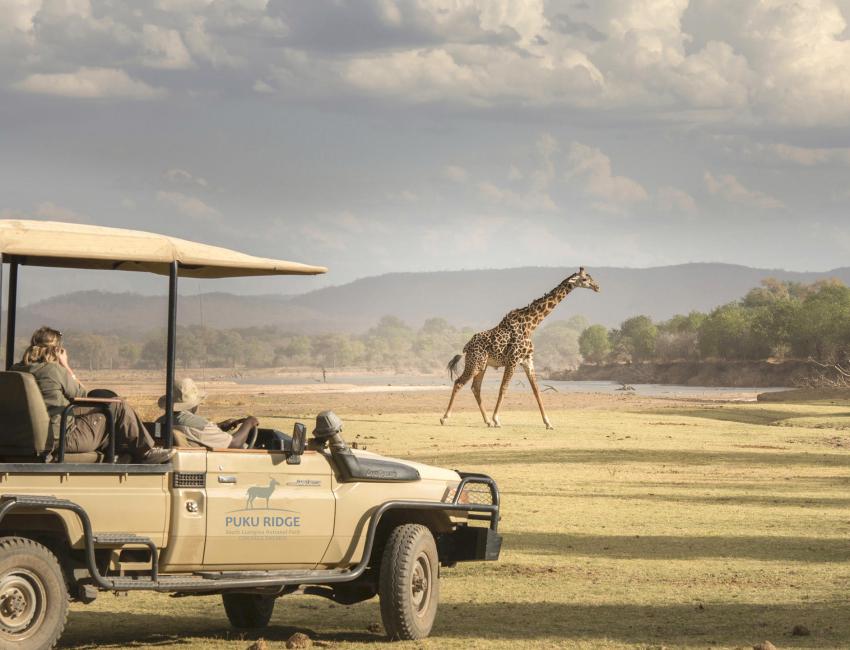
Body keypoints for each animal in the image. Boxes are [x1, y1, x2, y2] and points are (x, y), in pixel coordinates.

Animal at [440, 267, 600, 430]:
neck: (531, 325)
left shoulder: (527, 360)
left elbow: (536, 390)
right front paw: (497, 420)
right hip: (475, 364)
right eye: (585, 279)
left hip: (482, 366)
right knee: (459, 383)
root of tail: (466, 346)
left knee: (475, 387)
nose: (597, 287)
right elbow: (503, 388)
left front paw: (548, 423)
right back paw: (445, 418)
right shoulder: (513, 360)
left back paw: (487, 421)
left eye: (590, 277)